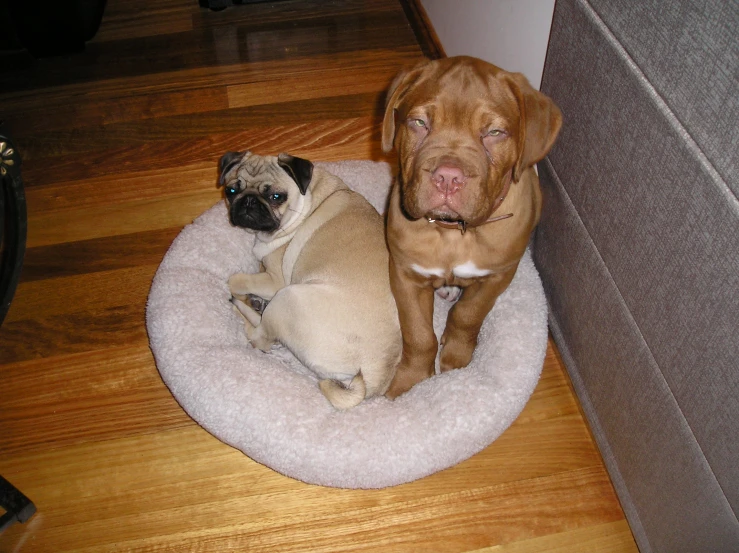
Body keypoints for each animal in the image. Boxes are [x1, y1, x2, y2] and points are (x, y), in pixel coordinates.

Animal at [384, 56, 564, 396]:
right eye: (419, 123)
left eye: (494, 132)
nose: (447, 177)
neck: (456, 233)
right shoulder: (405, 274)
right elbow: (418, 334)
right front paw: (411, 383)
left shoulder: (497, 276)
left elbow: (467, 316)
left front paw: (455, 361)